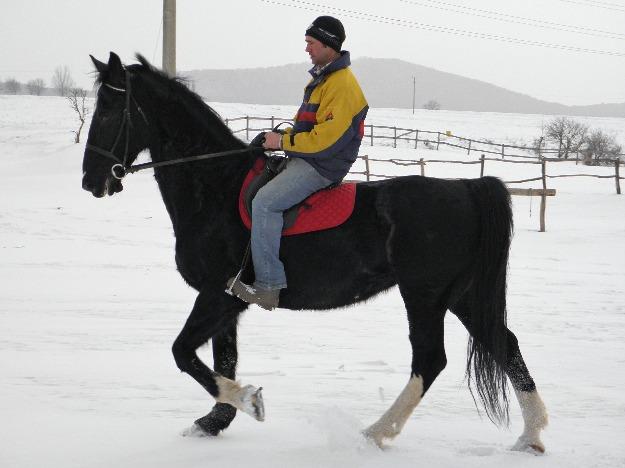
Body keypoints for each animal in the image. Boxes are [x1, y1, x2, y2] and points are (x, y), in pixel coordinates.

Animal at [81, 53, 544, 452]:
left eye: (107, 110)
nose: (90, 180)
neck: (216, 185)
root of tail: (466, 187)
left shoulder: (217, 295)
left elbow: (184, 354)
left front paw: (248, 401)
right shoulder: (227, 303)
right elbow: (221, 359)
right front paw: (214, 421)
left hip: (425, 296)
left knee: (430, 359)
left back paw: (376, 432)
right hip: (461, 296)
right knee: (506, 345)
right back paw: (531, 436)